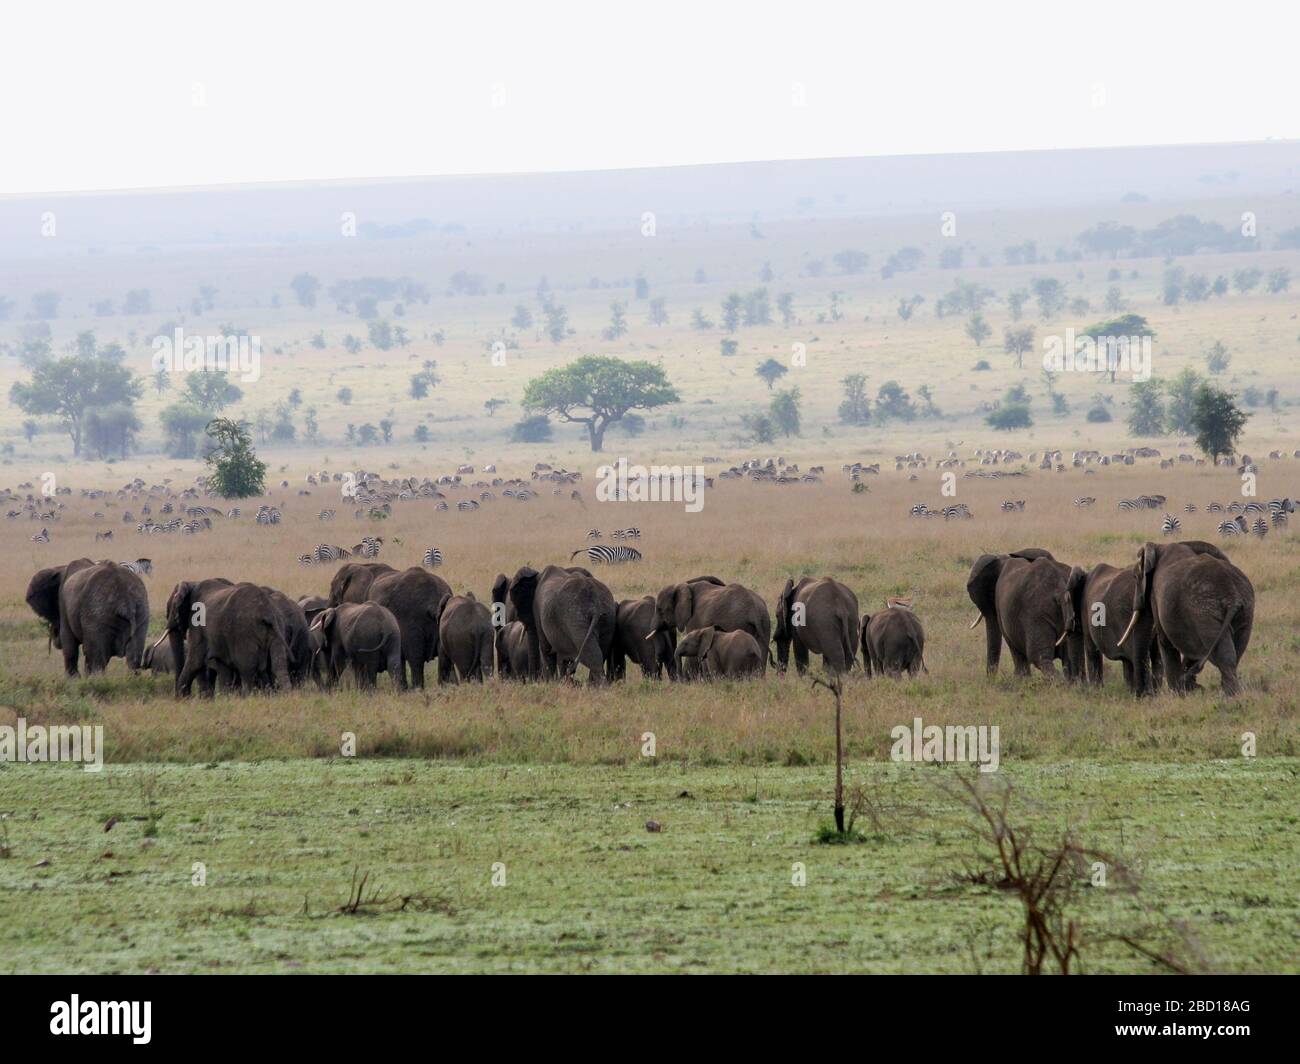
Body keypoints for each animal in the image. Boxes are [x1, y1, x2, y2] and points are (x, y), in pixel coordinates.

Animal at [967, 546, 1086, 681]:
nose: (991, 678)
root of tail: (1060, 589)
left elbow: (1013, 645)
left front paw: (1021, 680)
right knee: (1071, 658)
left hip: (1036, 612)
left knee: (1039, 657)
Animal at [1112, 538, 1253, 697]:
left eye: (1135, 577)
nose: (1143, 695)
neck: (1161, 546)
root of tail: (1233, 597)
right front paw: (1188, 688)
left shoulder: (1156, 596)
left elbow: (1165, 640)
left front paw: (1179, 693)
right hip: (1245, 610)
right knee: (1236, 653)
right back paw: (1233, 695)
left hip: (1204, 612)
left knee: (1224, 657)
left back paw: (1230, 696)